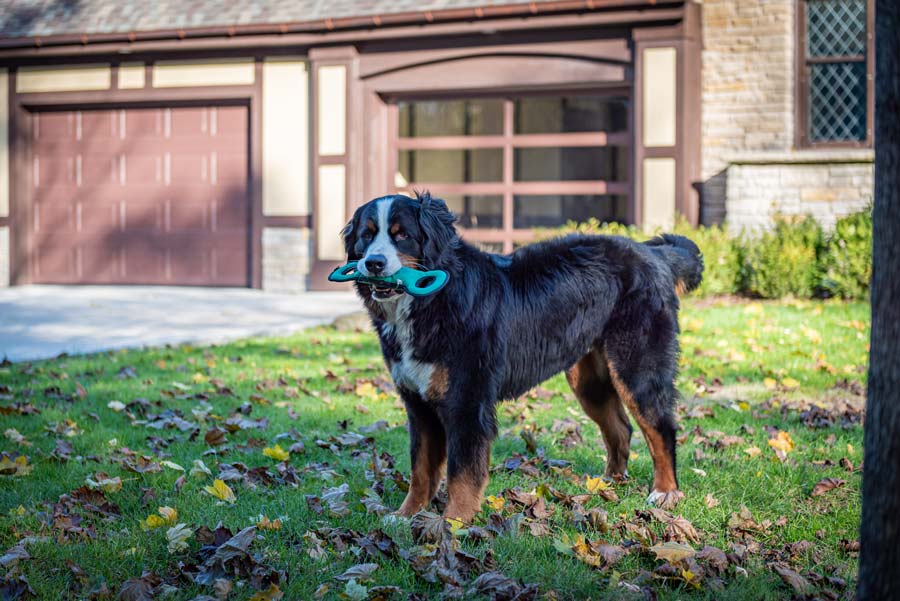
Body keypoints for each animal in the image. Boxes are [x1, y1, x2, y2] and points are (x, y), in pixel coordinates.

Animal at [342, 191, 704, 520]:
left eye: (402, 234)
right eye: (367, 235)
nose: (373, 263)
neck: (433, 300)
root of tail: (651, 251)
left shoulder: (467, 402)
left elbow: (462, 474)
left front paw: (454, 523)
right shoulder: (418, 404)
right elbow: (421, 469)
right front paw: (406, 515)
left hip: (637, 370)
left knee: (661, 429)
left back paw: (665, 492)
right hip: (589, 382)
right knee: (620, 429)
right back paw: (609, 485)